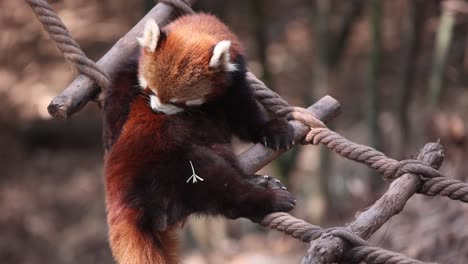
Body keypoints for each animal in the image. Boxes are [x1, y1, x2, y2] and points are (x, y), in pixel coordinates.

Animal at [103, 13, 296, 262]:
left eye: (179, 102)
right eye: (151, 91)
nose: (157, 110)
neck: (197, 27)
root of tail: (123, 197)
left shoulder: (234, 82)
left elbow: (244, 115)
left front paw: (271, 129)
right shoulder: (132, 65)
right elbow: (120, 83)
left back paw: (259, 181)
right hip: (173, 164)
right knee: (221, 188)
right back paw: (269, 197)